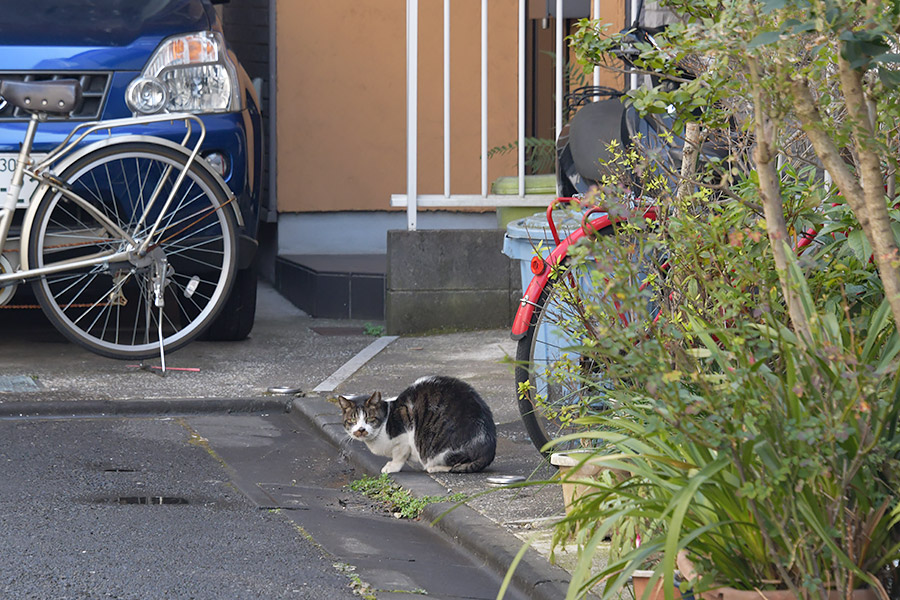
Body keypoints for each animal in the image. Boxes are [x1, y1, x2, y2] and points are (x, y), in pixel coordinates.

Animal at [338, 376, 496, 474]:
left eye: (370, 418)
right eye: (352, 421)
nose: (361, 430)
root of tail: (489, 449)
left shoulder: (404, 436)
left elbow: (399, 455)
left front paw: (392, 467)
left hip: (442, 450)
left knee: (454, 464)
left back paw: (434, 468)